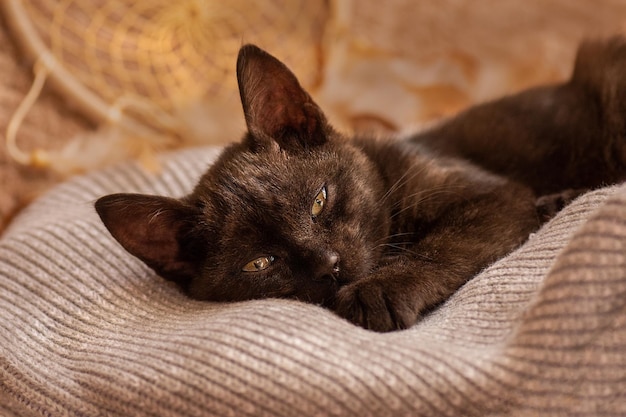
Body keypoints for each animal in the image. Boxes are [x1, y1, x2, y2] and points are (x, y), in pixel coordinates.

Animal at [95, 37, 624, 330]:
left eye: (319, 201)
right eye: (260, 263)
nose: (329, 265)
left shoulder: (491, 196)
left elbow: (440, 245)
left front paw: (380, 291)